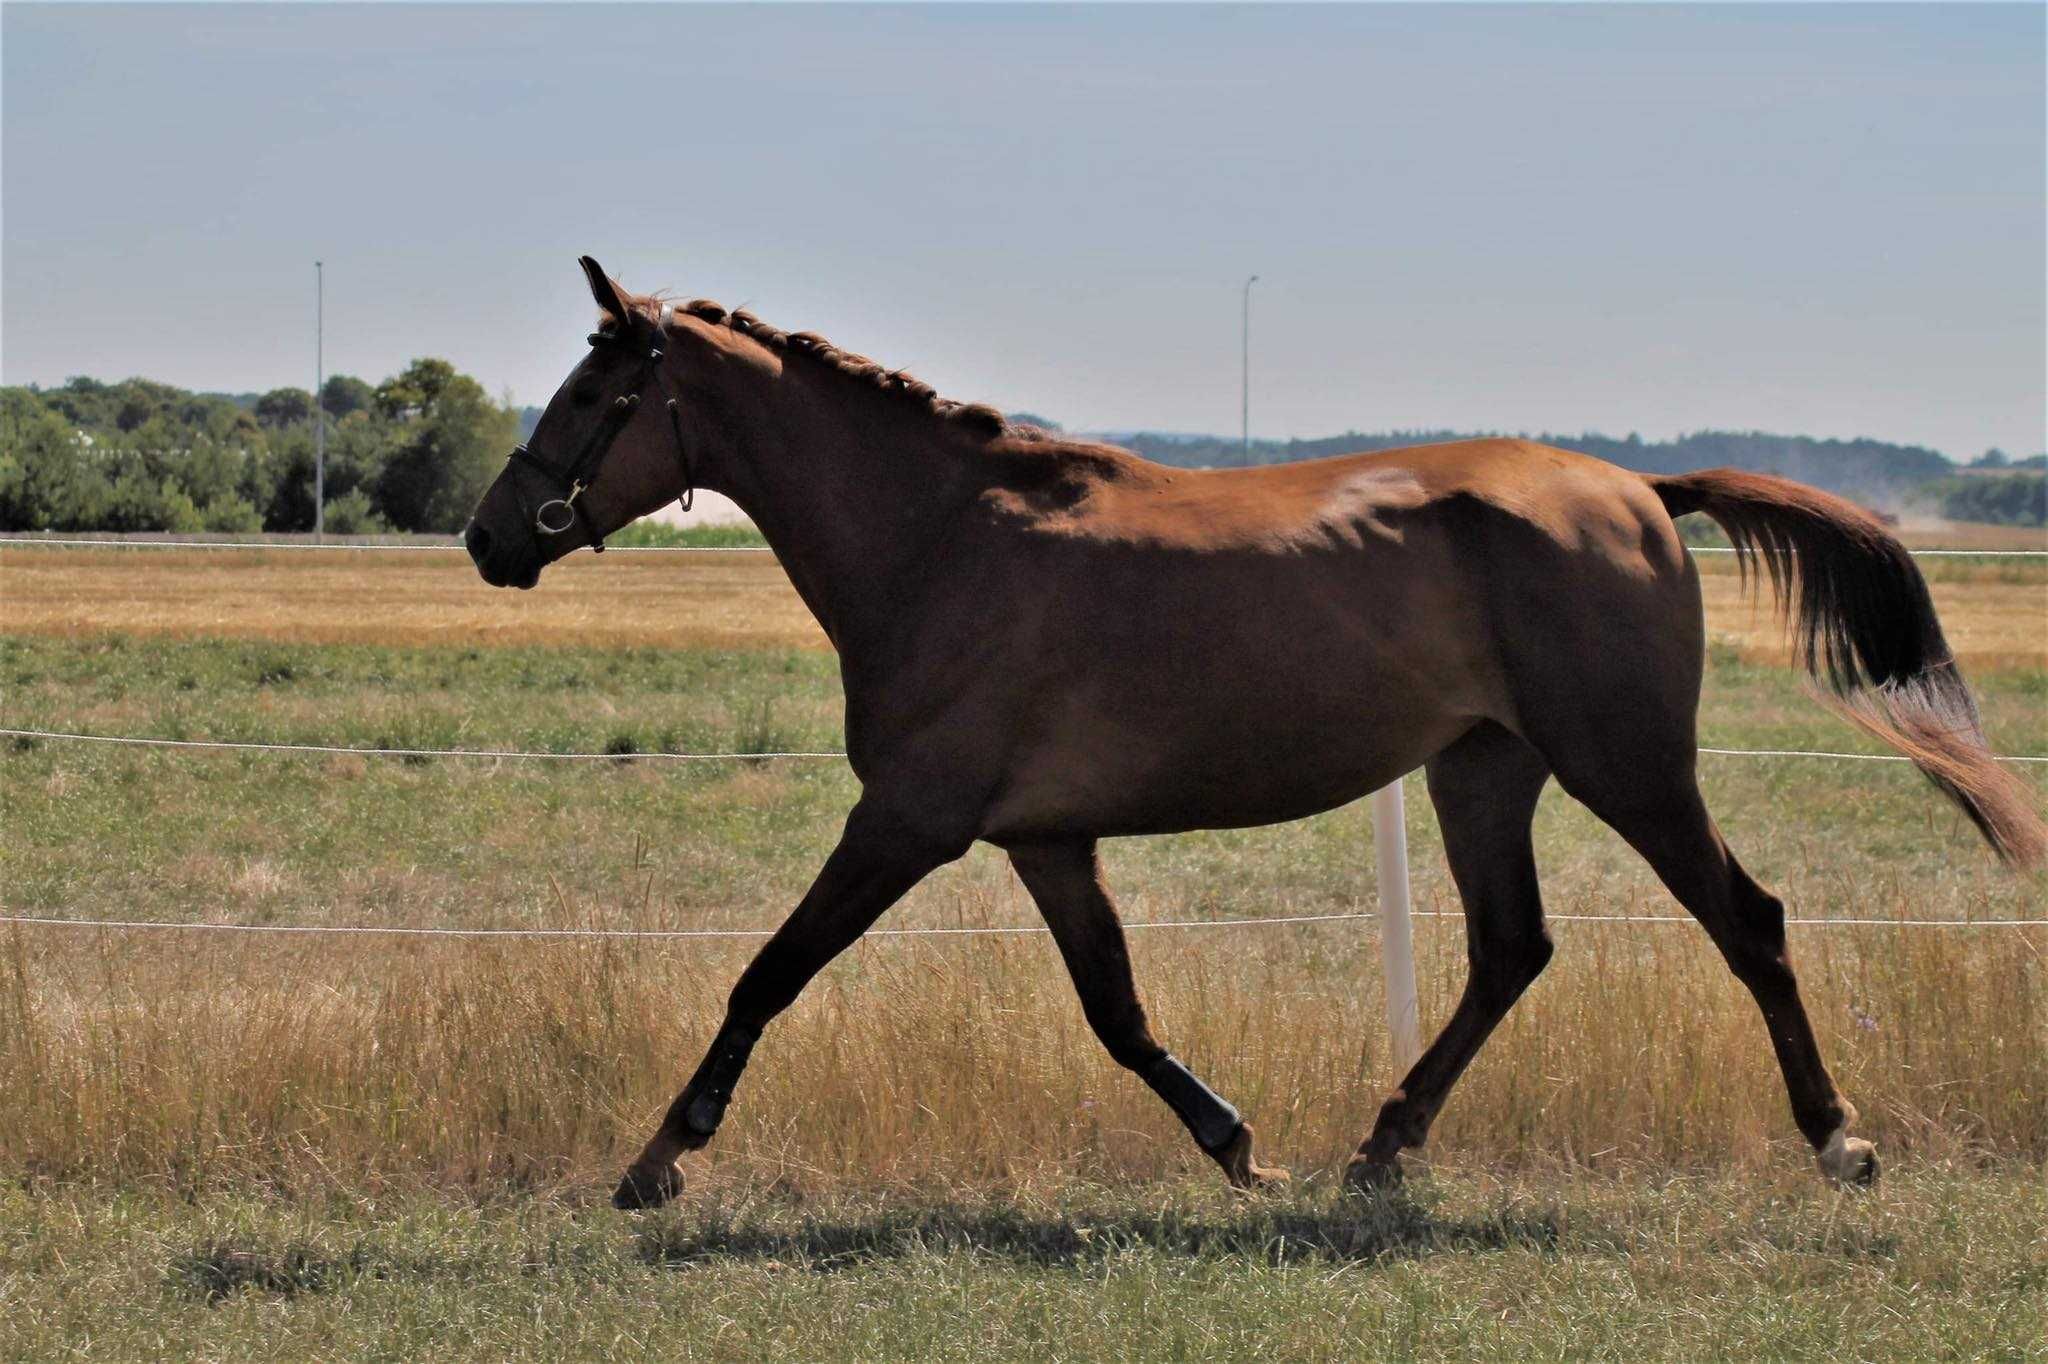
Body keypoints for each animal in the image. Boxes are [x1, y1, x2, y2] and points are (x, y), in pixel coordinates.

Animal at [468, 254, 2048, 1204]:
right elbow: (1116, 1013)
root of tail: (1638, 494)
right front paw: (1237, 1146)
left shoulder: (906, 822)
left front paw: (657, 1161)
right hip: (1486, 770)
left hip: (1628, 765)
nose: (492, 535)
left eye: (599, 390)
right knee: (1511, 947)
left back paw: (1838, 1138)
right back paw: (1381, 1146)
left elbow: (767, 975)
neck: (942, 538)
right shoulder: (1044, 840)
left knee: (1748, 921)